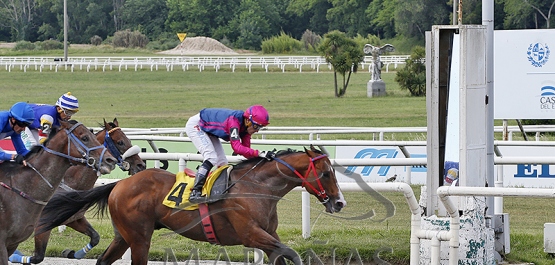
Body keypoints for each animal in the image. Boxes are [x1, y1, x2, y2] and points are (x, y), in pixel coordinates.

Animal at [9, 118, 146, 262]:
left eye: (129, 140)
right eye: (120, 142)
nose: (141, 165)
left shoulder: (74, 219)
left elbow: (95, 237)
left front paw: (72, 253)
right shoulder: (42, 224)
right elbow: (37, 256)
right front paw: (14, 255)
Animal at [39, 145, 346, 262]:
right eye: (326, 173)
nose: (340, 202)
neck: (258, 188)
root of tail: (119, 184)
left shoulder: (269, 235)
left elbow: (283, 254)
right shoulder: (250, 234)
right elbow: (292, 253)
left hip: (124, 235)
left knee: (104, 260)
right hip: (139, 237)